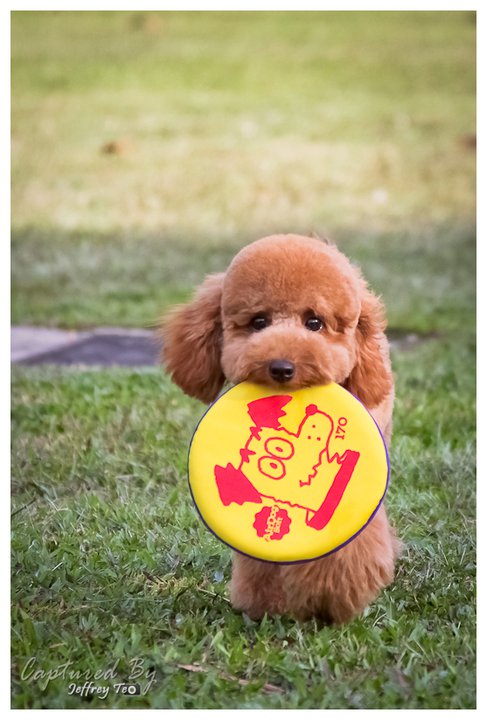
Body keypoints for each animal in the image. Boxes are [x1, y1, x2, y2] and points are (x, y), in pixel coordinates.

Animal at [162, 233, 402, 620]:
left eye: (315, 322)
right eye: (259, 322)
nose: (281, 367)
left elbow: (342, 548)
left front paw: (329, 599)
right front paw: (265, 604)